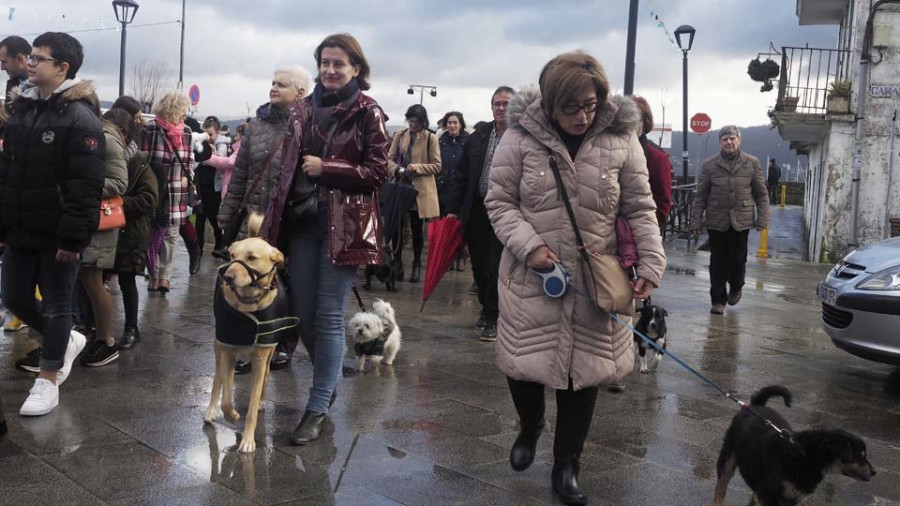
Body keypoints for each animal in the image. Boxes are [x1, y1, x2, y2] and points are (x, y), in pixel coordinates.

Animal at [205, 215, 298, 452]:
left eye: (252, 257)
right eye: (232, 255)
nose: (227, 276)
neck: (249, 304)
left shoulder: (261, 358)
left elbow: (253, 404)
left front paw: (247, 440)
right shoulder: (228, 352)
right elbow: (227, 398)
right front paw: (231, 415)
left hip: (268, 354)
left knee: (266, 378)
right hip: (219, 348)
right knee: (217, 379)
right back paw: (210, 410)